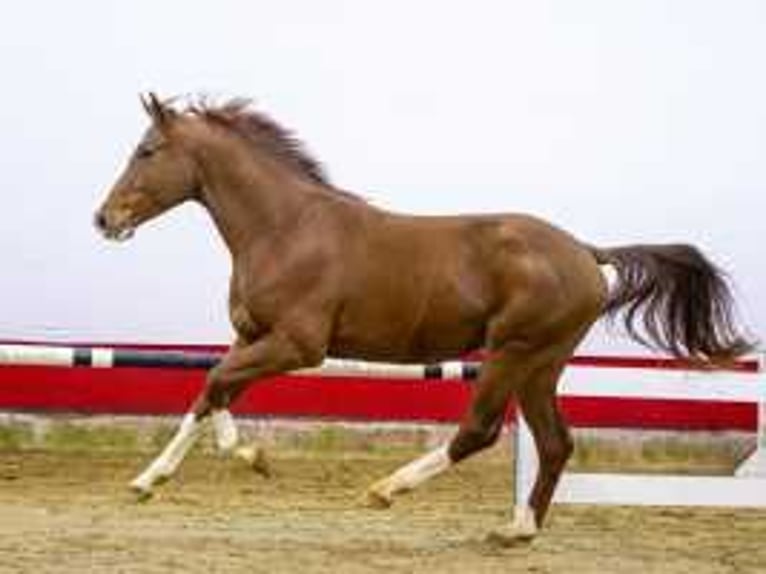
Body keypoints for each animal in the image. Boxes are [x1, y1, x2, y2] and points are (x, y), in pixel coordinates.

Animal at [94, 93, 756, 544]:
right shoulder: (251, 335)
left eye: (147, 151)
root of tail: (587, 253)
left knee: (481, 431)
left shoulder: (297, 344)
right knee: (556, 442)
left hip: (513, 351)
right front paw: (151, 479)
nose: (104, 218)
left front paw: (249, 458)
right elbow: (213, 392)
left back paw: (386, 490)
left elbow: (215, 383)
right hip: (542, 363)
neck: (286, 229)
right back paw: (517, 530)